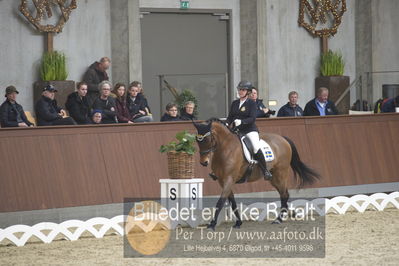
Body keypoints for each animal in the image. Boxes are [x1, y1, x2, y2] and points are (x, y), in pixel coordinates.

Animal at [192, 119, 320, 231]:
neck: (225, 149)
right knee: (284, 193)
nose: (204, 162)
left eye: (207, 139)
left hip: (281, 173)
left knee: (284, 194)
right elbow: (232, 202)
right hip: (273, 178)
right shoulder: (223, 181)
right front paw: (238, 223)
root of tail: (283, 138)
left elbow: (220, 202)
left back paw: (278, 219)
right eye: (197, 141)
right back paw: (285, 215)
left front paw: (212, 224)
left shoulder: (229, 179)